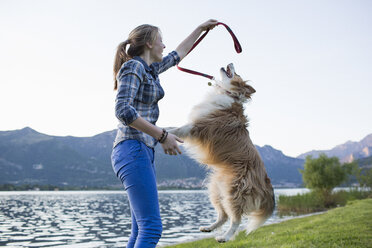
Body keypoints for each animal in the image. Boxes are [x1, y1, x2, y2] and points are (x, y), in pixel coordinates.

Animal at [167, 63, 274, 242]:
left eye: (237, 73)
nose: (230, 62)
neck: (227, 93)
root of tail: (266, 181)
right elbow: (171, 127)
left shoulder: (198, 127)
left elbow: (175, 129)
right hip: (216, 189)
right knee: (223, 216)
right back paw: (209, 228)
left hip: (234, 193)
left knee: (235, 220)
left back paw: (225, 237)